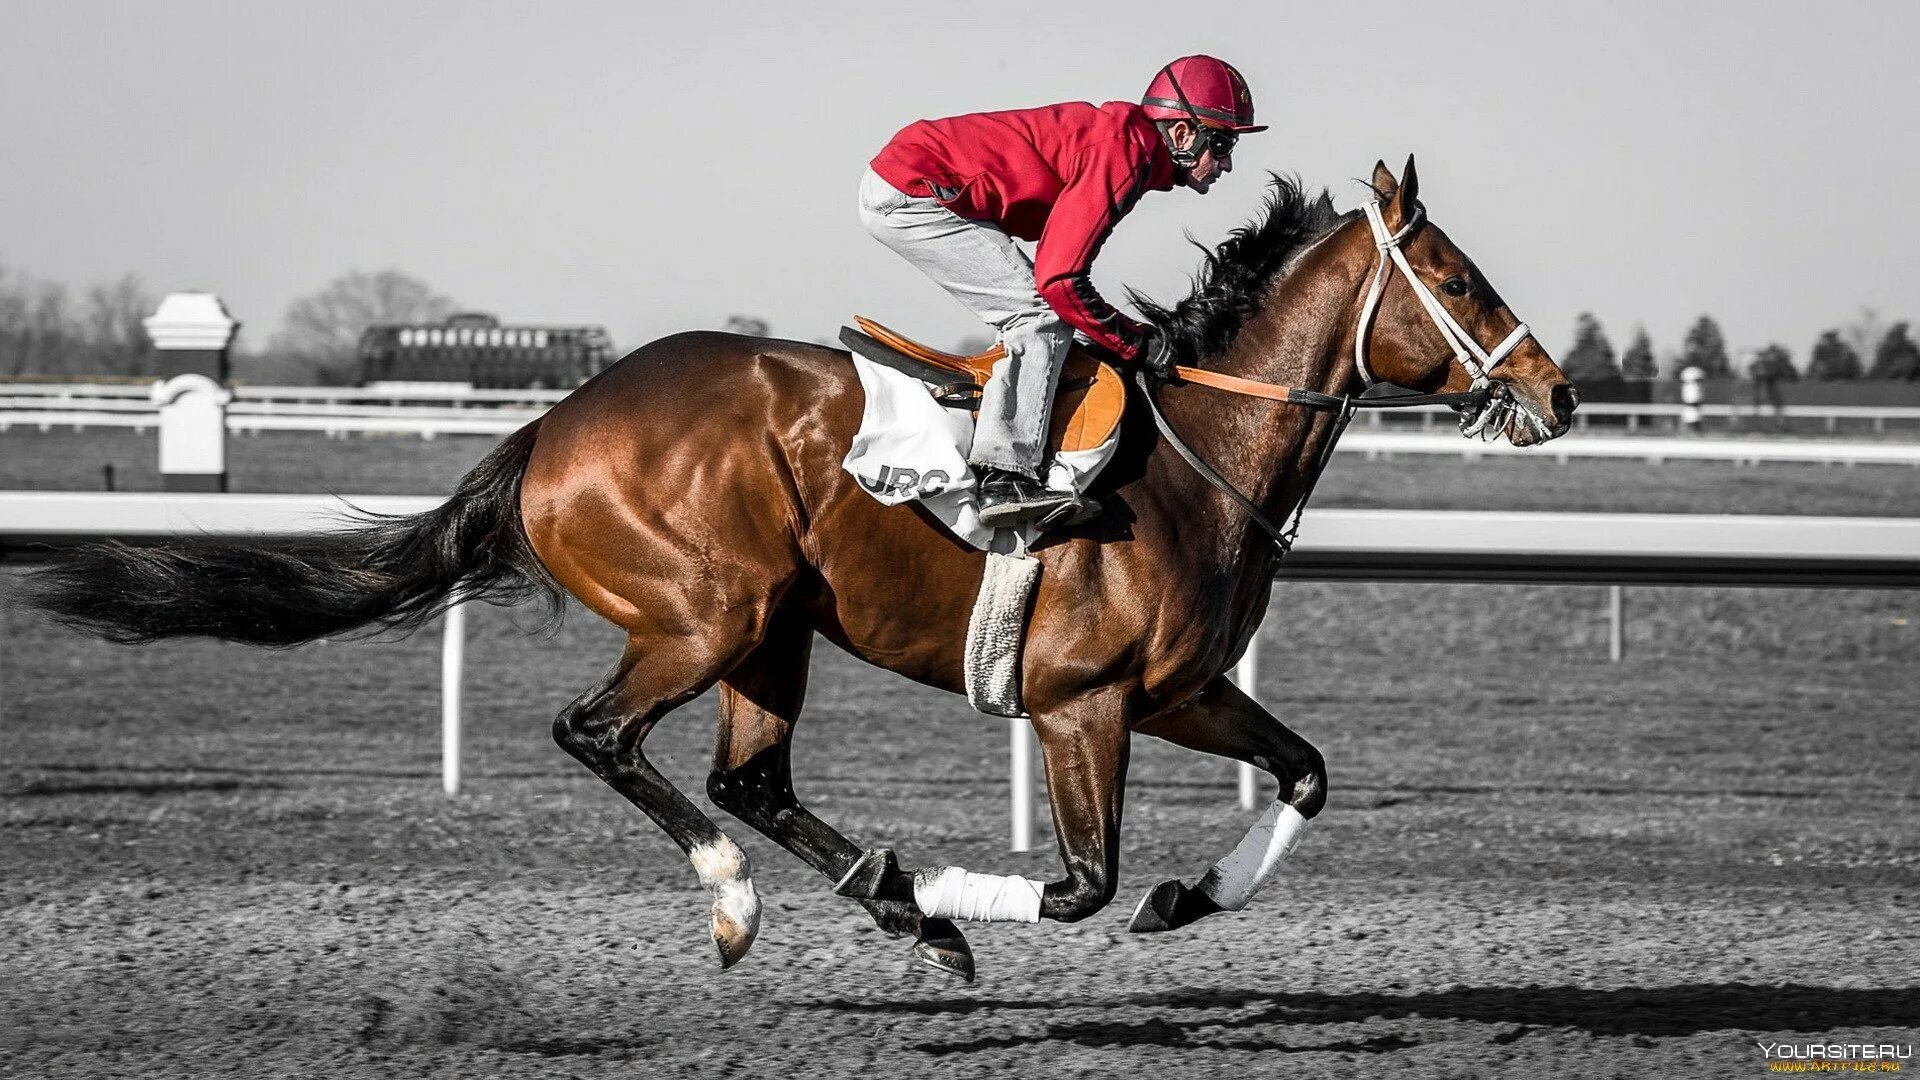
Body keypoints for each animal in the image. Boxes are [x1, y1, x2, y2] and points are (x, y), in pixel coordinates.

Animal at [22, 157, 1574, 976]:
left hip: (772, 632)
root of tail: (551, 425)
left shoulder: (1181, 688)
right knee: (601, 737)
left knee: (747, 779)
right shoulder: (1082, 704)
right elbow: (1080, 881)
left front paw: (1191, 893)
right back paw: (765, 899)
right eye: (1462, 278)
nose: (1554, 392)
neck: (1193, 458)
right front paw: (985, 895)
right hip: (707, 614)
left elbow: (1304, 772)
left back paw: (884, 898)